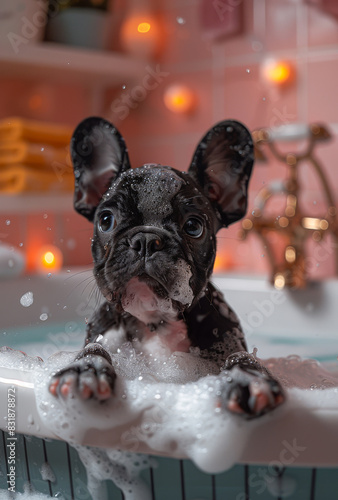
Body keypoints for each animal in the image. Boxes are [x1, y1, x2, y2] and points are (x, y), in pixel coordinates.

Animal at [48, 117, 284, 418]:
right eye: (106, 220)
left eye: (193, 226)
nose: (147, 240)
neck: (154, 321)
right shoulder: (104, 334)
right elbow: (94, 347)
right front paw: (84, 368)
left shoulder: (225, 343)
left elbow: (238, 355)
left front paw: (248, 377)